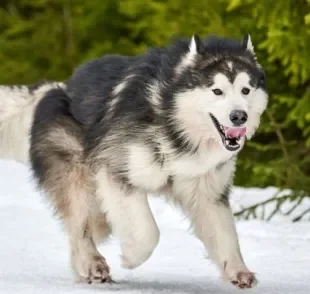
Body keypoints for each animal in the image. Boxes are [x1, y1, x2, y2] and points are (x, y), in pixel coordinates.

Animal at [0, 33, 266, 288]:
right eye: (216, 91)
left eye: (246, 90)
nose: (239, 116)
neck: (171, 119)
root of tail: (58, 87)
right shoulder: (117, 172)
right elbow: (148, 233)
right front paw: (131, 258)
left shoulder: (207, 191)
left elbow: (225, 236)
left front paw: (238, 270)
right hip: (76, 173)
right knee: (80, 226)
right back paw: (91, 262)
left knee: (88, 227)